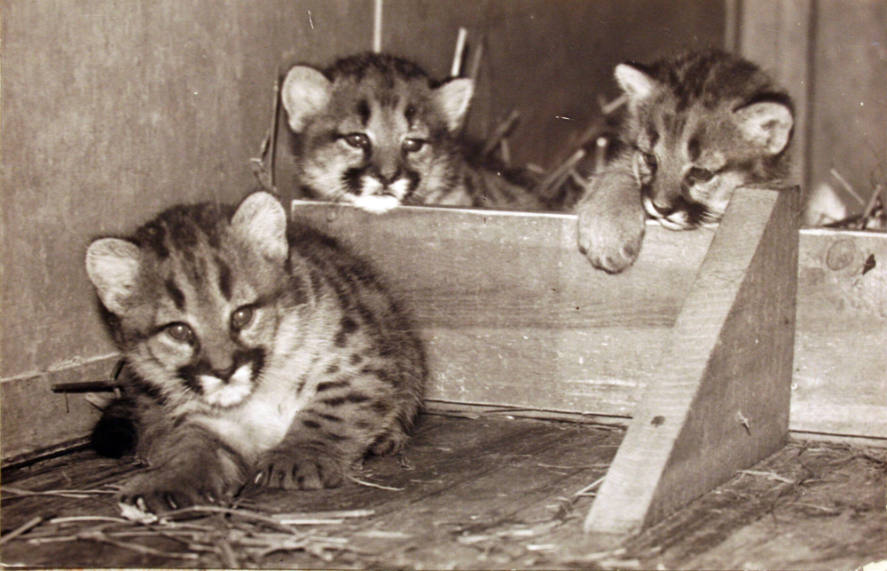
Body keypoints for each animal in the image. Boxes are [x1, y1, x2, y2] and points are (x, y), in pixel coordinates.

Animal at [86, 192, 426, 512]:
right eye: (179, 331)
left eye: (242, 315)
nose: (223, 371)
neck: (260, 393)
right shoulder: (204, 418)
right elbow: (192, 448)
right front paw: (167, 482)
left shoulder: (361, 365)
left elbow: (329, 413)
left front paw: (298, 455)